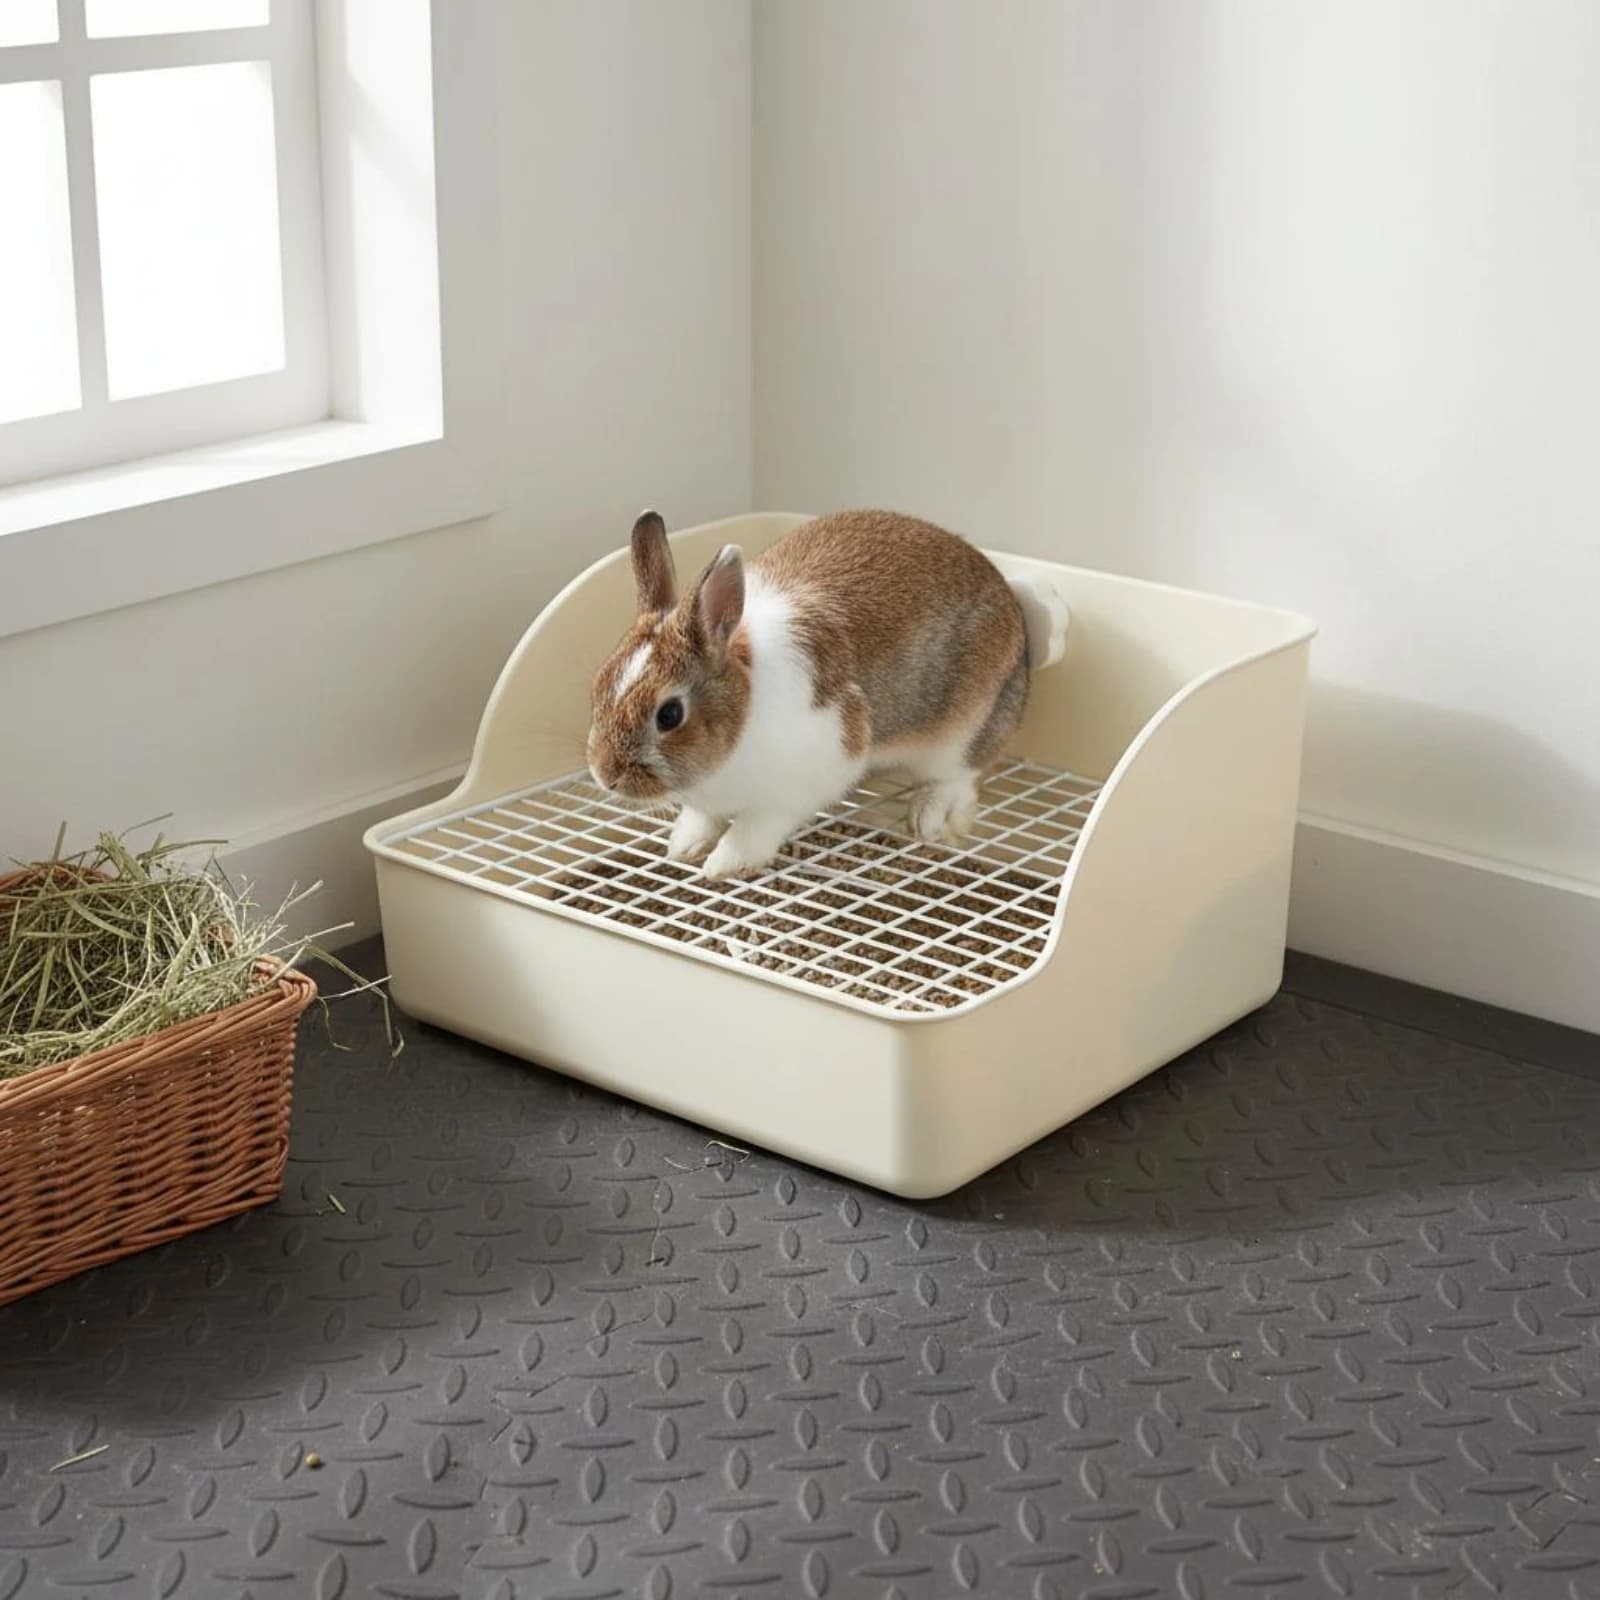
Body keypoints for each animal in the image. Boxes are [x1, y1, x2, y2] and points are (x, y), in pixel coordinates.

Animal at [587, 509, 1068, 880]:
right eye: (599, 685)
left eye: (669, 715)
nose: (607, 775)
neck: (745, 704)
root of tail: (1017, 613)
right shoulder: (710, 802)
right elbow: (702, 819)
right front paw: (683, 847)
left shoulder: (802, 785)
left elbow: (756, 827)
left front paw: (726, 865)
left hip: (963, 732)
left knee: (960, 777)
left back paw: (927, 814)